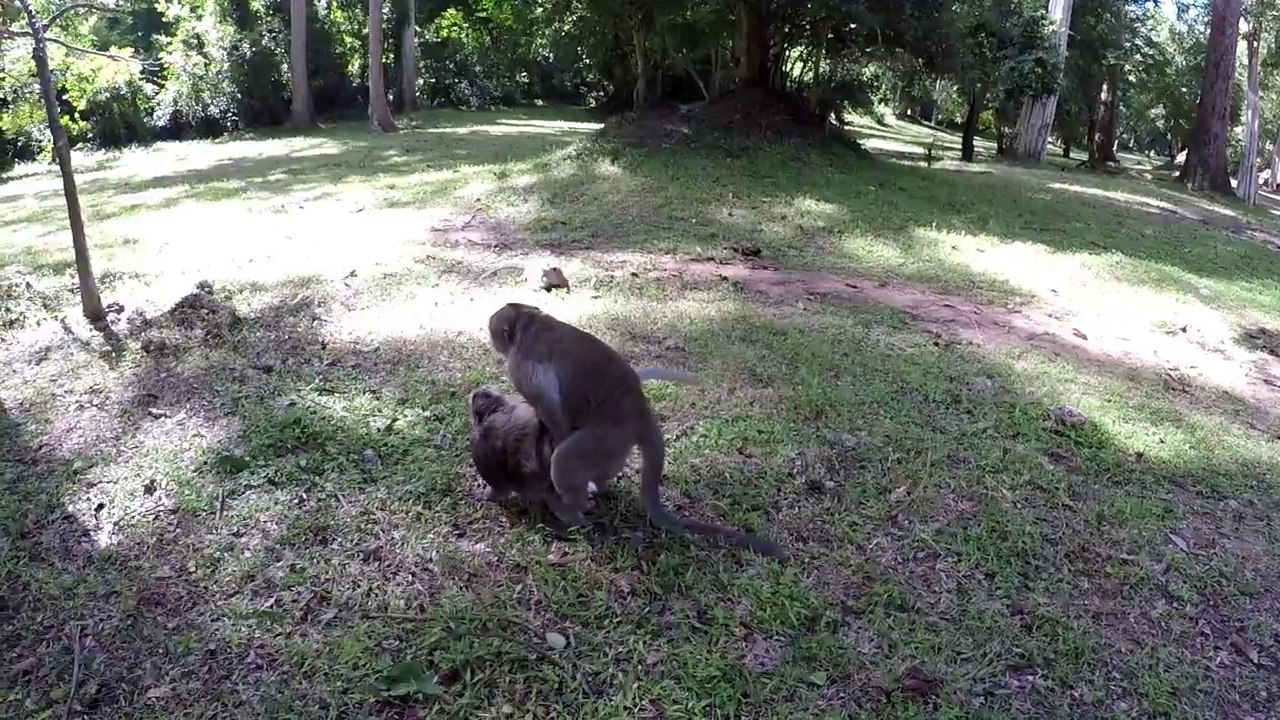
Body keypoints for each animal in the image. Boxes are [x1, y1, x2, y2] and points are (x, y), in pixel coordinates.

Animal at [486, 302, 786, 557]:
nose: (493, 340)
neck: (529, 321)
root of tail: (640, 413)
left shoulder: (521, 365)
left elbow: (551, 411)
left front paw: (551, 435)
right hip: (616, 443)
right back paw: (600, 487)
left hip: (607, 436)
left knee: (565, 460)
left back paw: (573, 510)